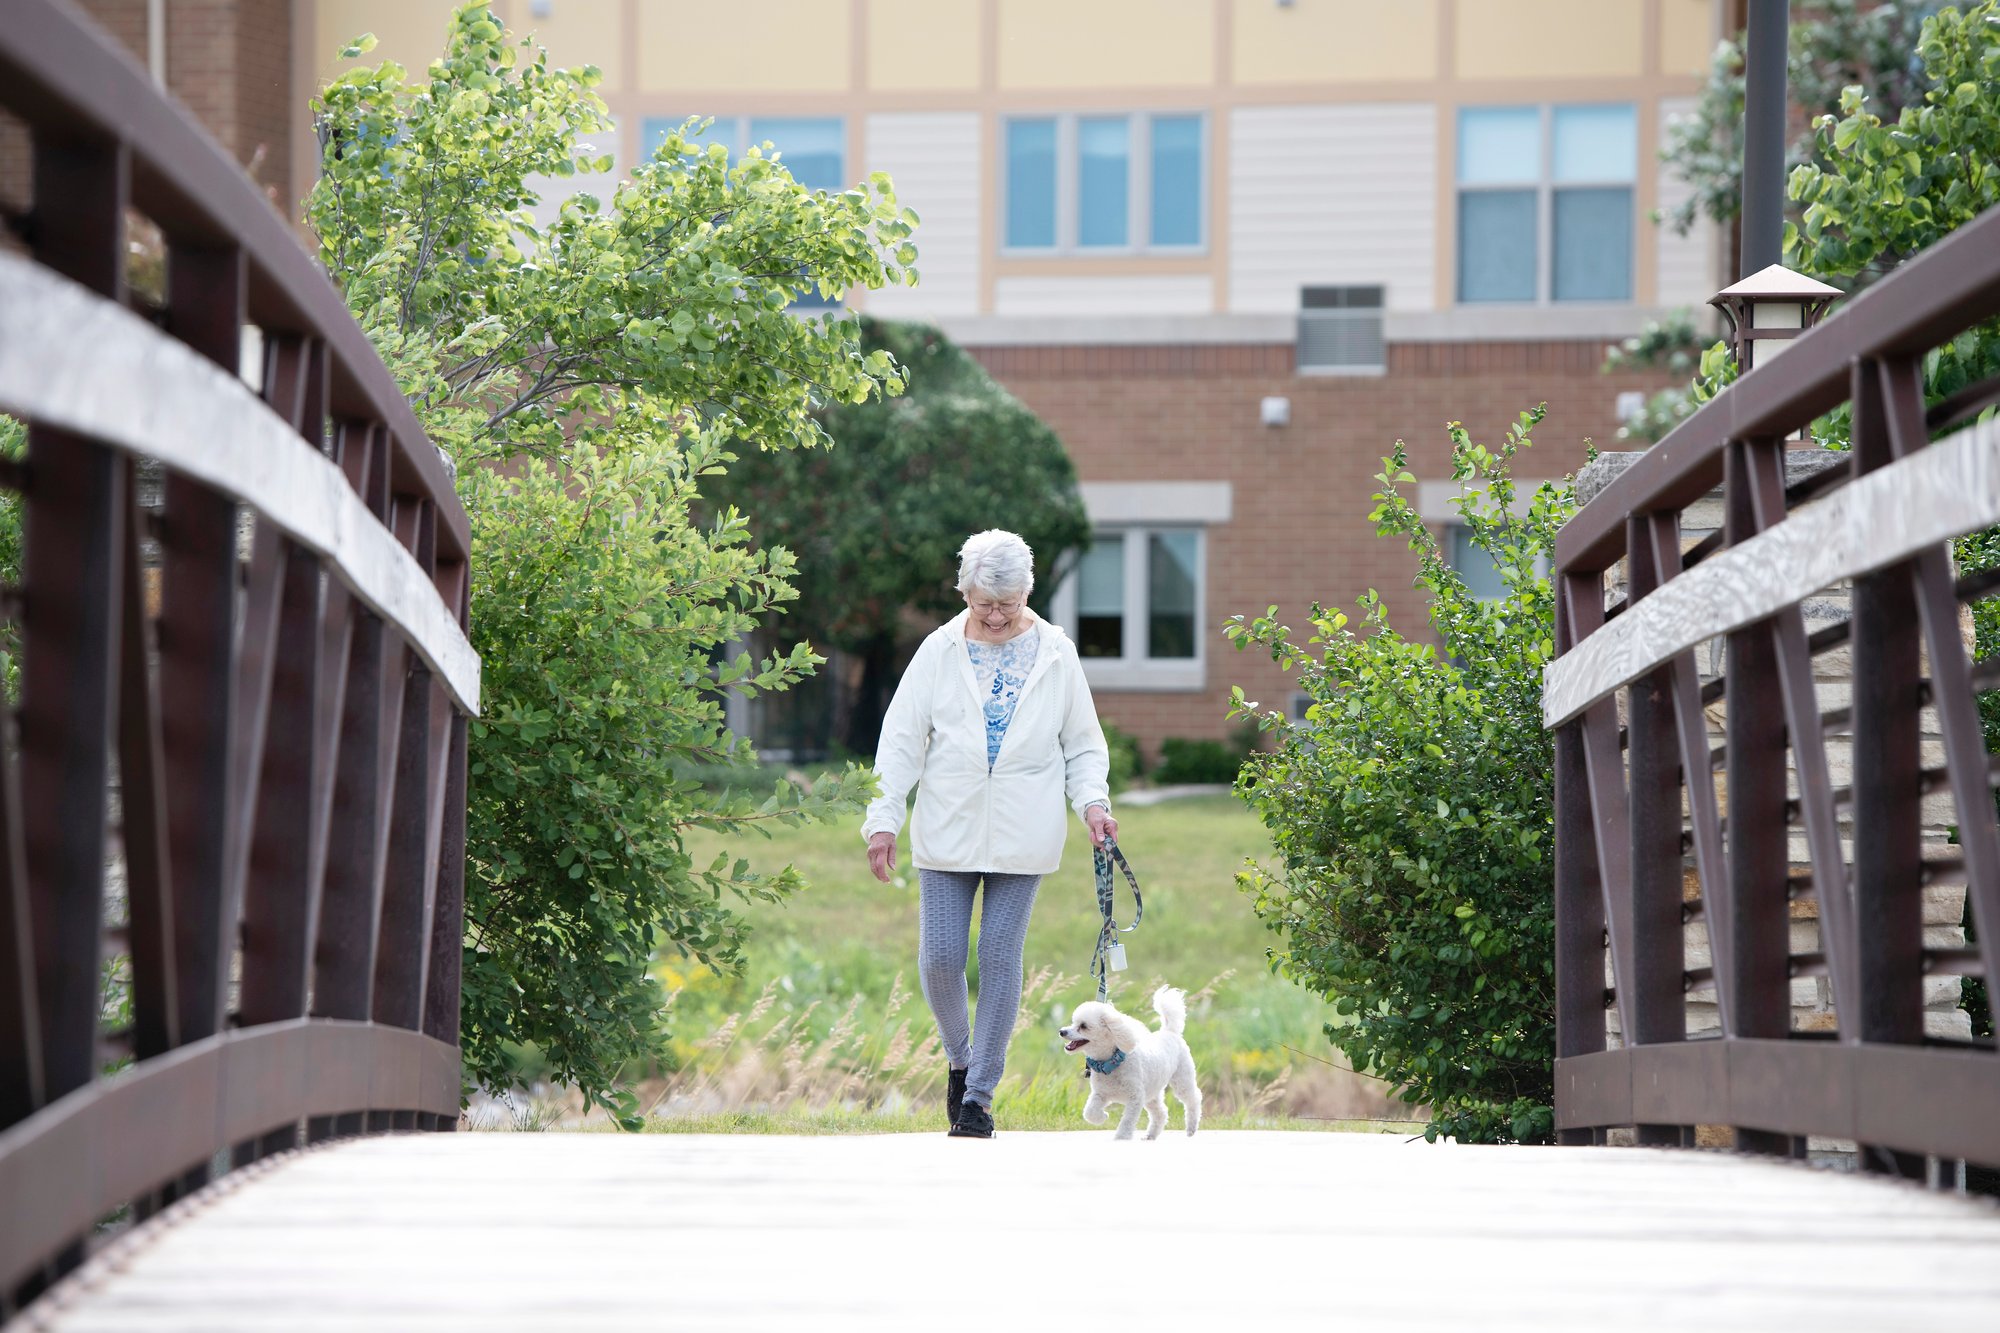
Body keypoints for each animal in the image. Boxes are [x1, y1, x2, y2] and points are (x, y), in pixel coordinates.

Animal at [1064, 980, 1200, 1136]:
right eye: (1073, 1023)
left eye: (1083, 1026)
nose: (1061, 1031)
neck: (1111, 1062)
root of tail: (1170, 1031)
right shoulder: (1100, 1094)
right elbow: (1089, 1113)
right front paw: (1103, 1116)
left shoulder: (1135, 1098)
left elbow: (1126, 1125)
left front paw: (1120, 1137)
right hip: (1152, 1093)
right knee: (1161, 1113)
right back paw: (1151, 1136)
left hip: (1182, 1080)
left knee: (1194, 1100)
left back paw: (1191, 1128)